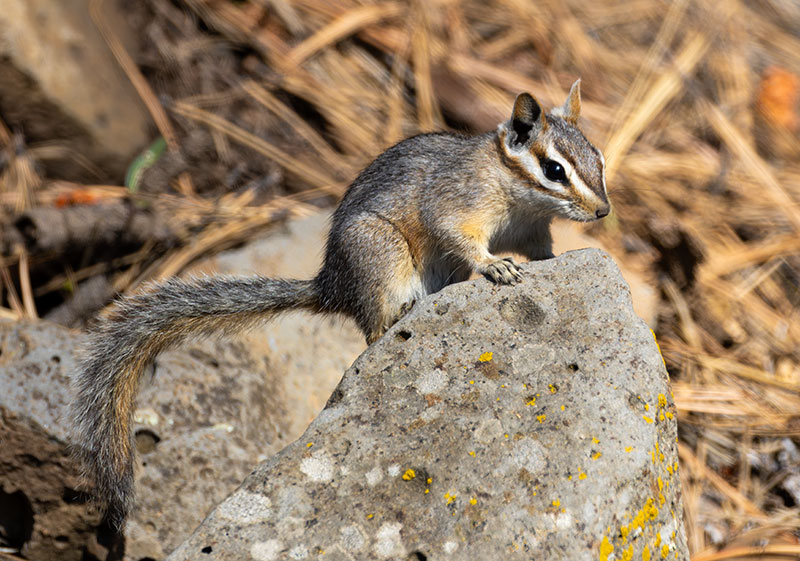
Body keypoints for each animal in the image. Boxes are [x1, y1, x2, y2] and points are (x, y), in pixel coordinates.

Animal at [71, 79, 610, 527]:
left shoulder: (532, 229)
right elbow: (458, 236)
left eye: (599, 158)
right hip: (381, 254)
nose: (603, 210)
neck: (512, 189)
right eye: (554, 170)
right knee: (372, 333)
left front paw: (556, 260)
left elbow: (543, 250)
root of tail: (332, 286)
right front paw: (495, 266)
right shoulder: (457, 204)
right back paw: (398, 318)